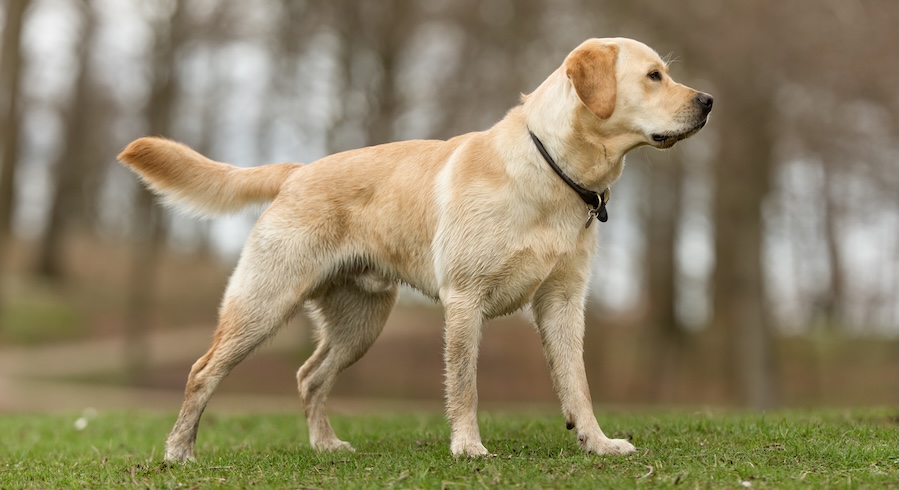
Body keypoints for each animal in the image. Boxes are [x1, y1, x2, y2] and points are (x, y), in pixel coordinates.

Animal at [119, 37, 712, 460]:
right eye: (654, 75)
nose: (708, 101)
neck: (554, 173)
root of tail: (297, 169)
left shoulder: (563, 303)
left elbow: (578, 385)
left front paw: (597, 442)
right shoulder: (466, 299)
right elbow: (465, 385)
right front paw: (468, 446)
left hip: (360, 323)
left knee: (310, 376)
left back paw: (325, 446)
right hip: (263, 304)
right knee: (203, 370)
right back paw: (179, 451)